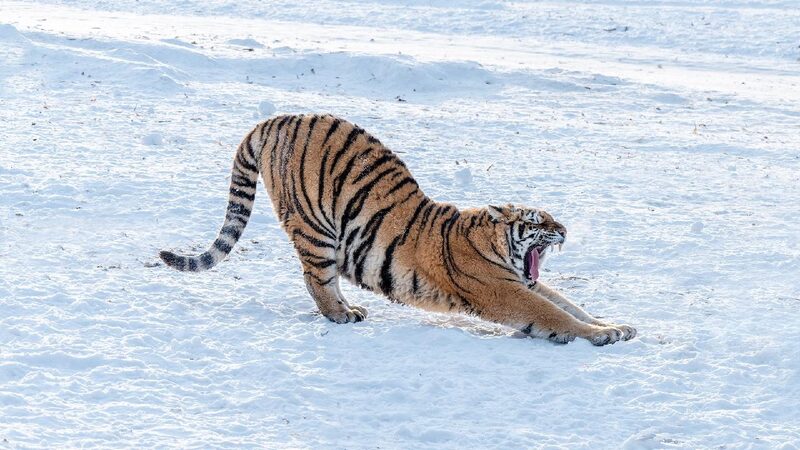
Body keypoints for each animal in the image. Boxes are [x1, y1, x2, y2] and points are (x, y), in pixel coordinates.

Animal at [159, 114, 636, 346]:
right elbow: (556, 315)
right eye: (539, 222)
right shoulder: (503, 290)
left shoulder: (524, 282)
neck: (492, 242)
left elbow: (570, 304)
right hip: (315, 228)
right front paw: (603, 335)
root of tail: (274, 120)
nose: (566, 229)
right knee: (316, 278)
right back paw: (340, 314)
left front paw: (616, 325)